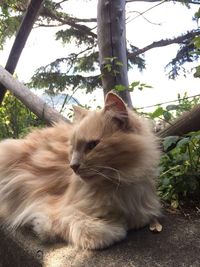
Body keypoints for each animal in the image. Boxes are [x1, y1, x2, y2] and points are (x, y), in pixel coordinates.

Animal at [0, 92, 161, 251]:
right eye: (72, 148)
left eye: (92, 145)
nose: (73, 166)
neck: (117, 187)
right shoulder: (54, 212)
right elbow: (102, 232)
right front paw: (117, 225)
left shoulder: (143, 211)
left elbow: (138, 219)